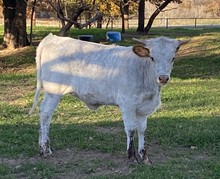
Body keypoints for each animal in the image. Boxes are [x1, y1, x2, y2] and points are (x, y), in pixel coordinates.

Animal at [28, 34, 187, 164]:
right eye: (152, 58)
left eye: (173, 58)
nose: (163, 78)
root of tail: (52, 38)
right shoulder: (127, 104)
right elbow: (131, 129)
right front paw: (131, 157)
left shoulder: (143, 108)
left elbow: (142, 130)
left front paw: (144, 156)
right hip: (53, 91)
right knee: (45, 114)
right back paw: (46, 150)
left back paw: (41, 148)